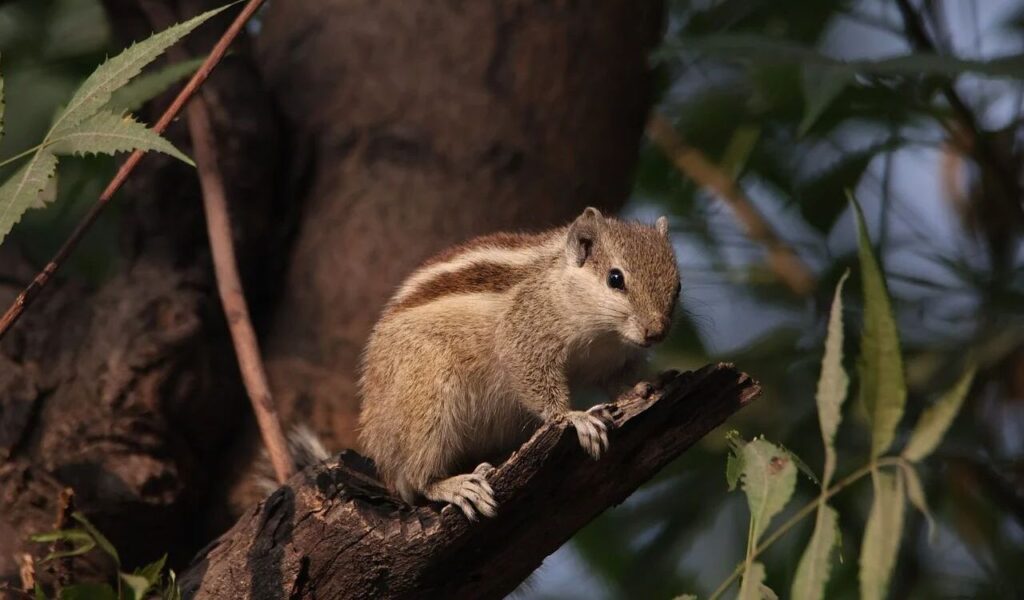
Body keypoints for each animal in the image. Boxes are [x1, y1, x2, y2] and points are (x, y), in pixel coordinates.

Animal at [353, 207, 681, 520]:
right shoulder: (525, 335)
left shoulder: (612, 359)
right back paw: (455, 486)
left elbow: (616, 380)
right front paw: (574, 417)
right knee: (417, 477)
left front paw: (640, 387)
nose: (657, 332)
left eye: (677, 286)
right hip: (426, 398)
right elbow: (534, 378)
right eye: (615, 279)